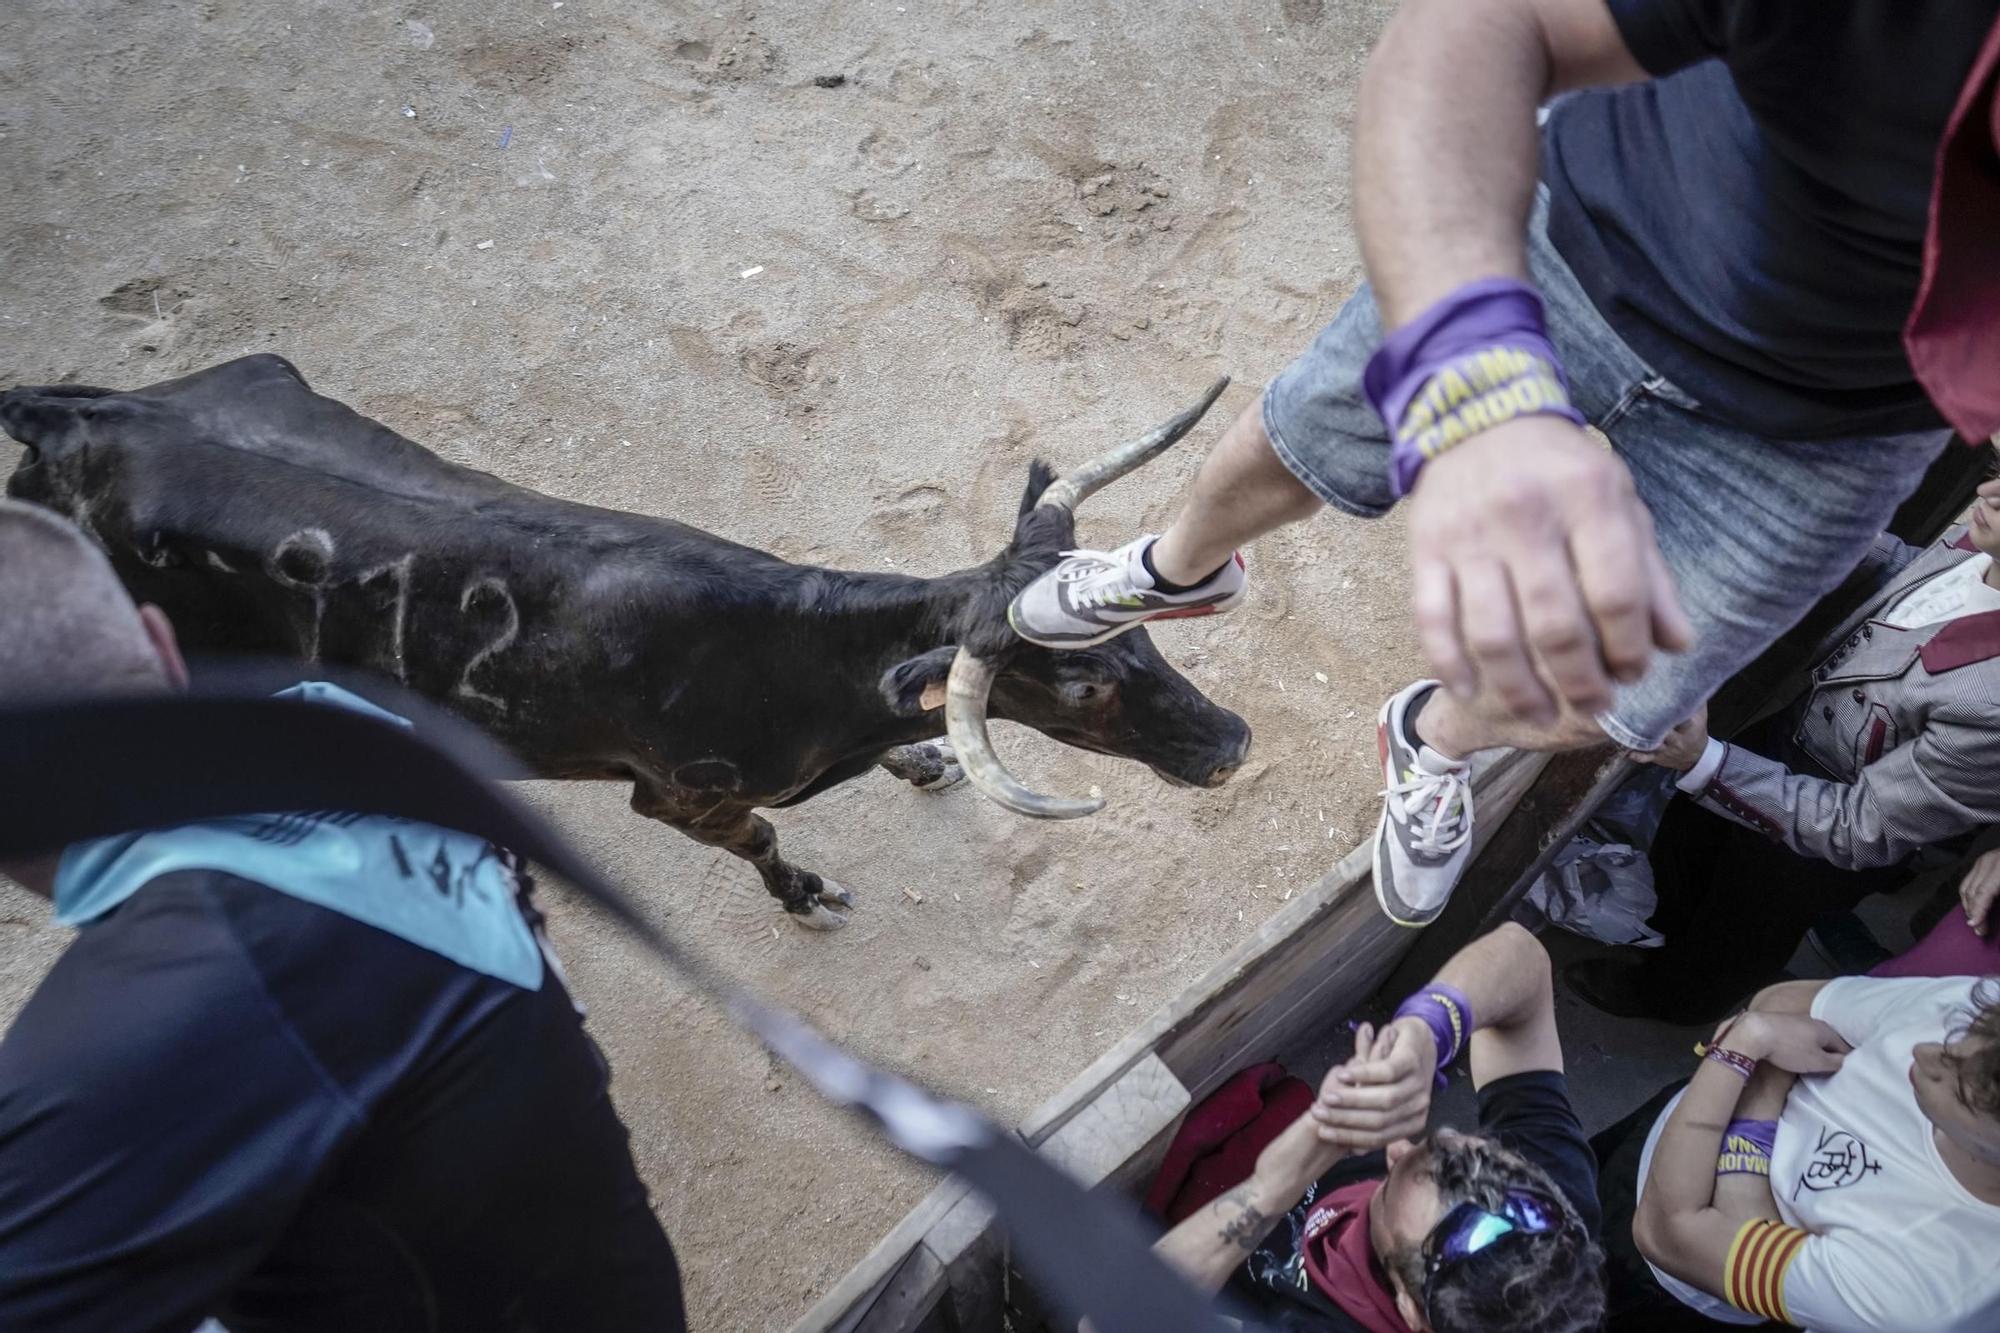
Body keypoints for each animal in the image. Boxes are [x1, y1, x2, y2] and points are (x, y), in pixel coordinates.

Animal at [3, 358, 1248, 928]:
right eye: (1080, 688)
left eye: (1145, 642)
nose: (1231, 741)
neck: (800, 661)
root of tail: (77, 413)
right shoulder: (679, 797)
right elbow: (758, 840)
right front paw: (805, 893)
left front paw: (925, 756)